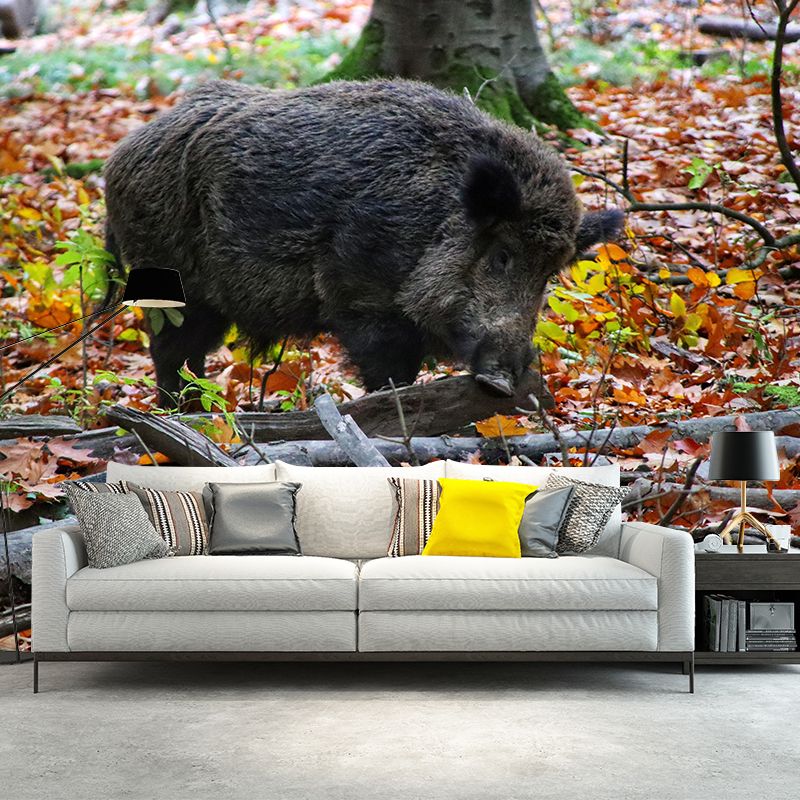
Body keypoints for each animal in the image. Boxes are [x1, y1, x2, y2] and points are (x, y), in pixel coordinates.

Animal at [104, 79, 623, 403]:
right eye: (501, 256)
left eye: (549, 275)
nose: (503, 379)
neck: (431, 220)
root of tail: (117, 158)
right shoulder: (360, 295)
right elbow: (388, 373)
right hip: (170, 283)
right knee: (170, 352)